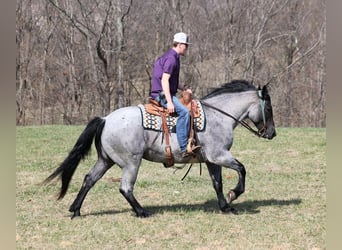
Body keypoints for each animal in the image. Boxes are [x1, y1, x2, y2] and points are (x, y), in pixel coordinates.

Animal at [44, 80, 276, 219]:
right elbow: (241, 169)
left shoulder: (211, 160)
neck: (218, 116)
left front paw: (226, 206)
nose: (272, 133)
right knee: (125, 188)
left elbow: (217, 183)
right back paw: (141, 212)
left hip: (106, 160)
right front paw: (234, 194)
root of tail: (105, 119)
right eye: (268, 107)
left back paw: (76, 210)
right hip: (131, 162)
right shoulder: (219, 155)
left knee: (89, 179)